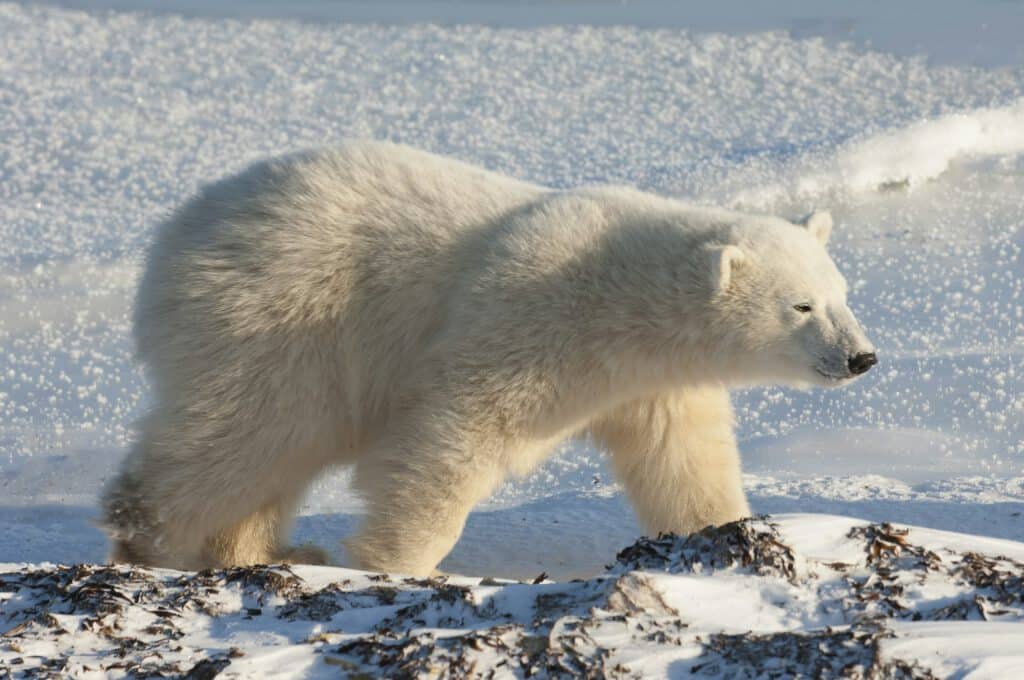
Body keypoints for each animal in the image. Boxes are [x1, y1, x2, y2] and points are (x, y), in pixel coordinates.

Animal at [101, 140, 872, 577]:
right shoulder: (526, 317)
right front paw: (396, 562)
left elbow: (683, 460)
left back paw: (265, 553)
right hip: (282, 314)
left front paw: (727, 533)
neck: (619, 297)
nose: (861, 357)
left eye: (842, 293)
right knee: (252, 429)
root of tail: (175, 234)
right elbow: (454, 433)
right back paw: (150, 537)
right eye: (801, 306)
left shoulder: (651, 384)